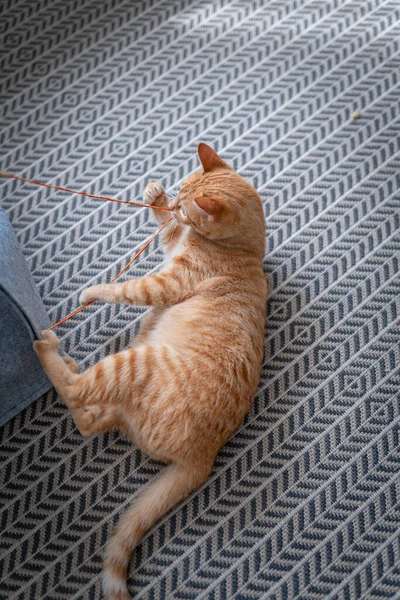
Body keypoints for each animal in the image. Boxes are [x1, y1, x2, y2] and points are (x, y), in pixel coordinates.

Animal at [33, 144, 266, 600]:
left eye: (188, 207)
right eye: (180, 194)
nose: (175, 204)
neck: (246, 251)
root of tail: (203, 456)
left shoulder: (167, 280)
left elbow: (127, 288)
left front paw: (93, 291)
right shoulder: (173, 246)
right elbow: (166, 232)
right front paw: (155, 196)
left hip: (133, 363)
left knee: (78, 394)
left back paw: (49, 350)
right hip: (128, 376)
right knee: (87, 418)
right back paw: (65, 361)